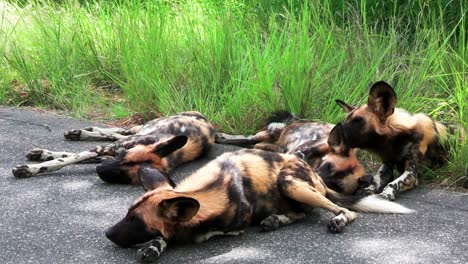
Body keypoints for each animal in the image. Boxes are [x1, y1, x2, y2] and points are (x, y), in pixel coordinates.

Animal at [11, 111, 216, 186]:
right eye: (124, 158)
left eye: (124, 176)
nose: (100, 169)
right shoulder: (108, 150)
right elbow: (66, 160)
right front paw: (31, 169)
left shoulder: (106, 155)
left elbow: (69, 158)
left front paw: (38, 163)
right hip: (142, 128)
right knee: (120, 131)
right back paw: (81, 132)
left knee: (116, 135)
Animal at [106, 148, 414, 262]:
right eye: (127, 214)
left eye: (135, 221)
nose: (107, 233)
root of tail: (312, 171)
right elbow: (165, 235)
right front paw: (153, 246)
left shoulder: (233, 227)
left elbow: (205, 233)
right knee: (301, 214)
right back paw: (275, 220)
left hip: (291, 183)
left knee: (343, 211)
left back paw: (334, 219)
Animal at [214, 110, 372, 195]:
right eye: (327, 166)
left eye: (336, 186)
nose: (317, 179)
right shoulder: (298, 153)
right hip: (270, 134)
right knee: (248, 138)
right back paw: (220, 137)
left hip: (274, 144)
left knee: (255, 144)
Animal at [336, 80, 464, 200]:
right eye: (345, 121)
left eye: (358, 120)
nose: (335, 132)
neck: (395, 141)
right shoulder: (387, 164)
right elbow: (377, 179)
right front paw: (369, 189)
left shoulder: (411, 173)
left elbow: (393, 183)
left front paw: (385, 195)